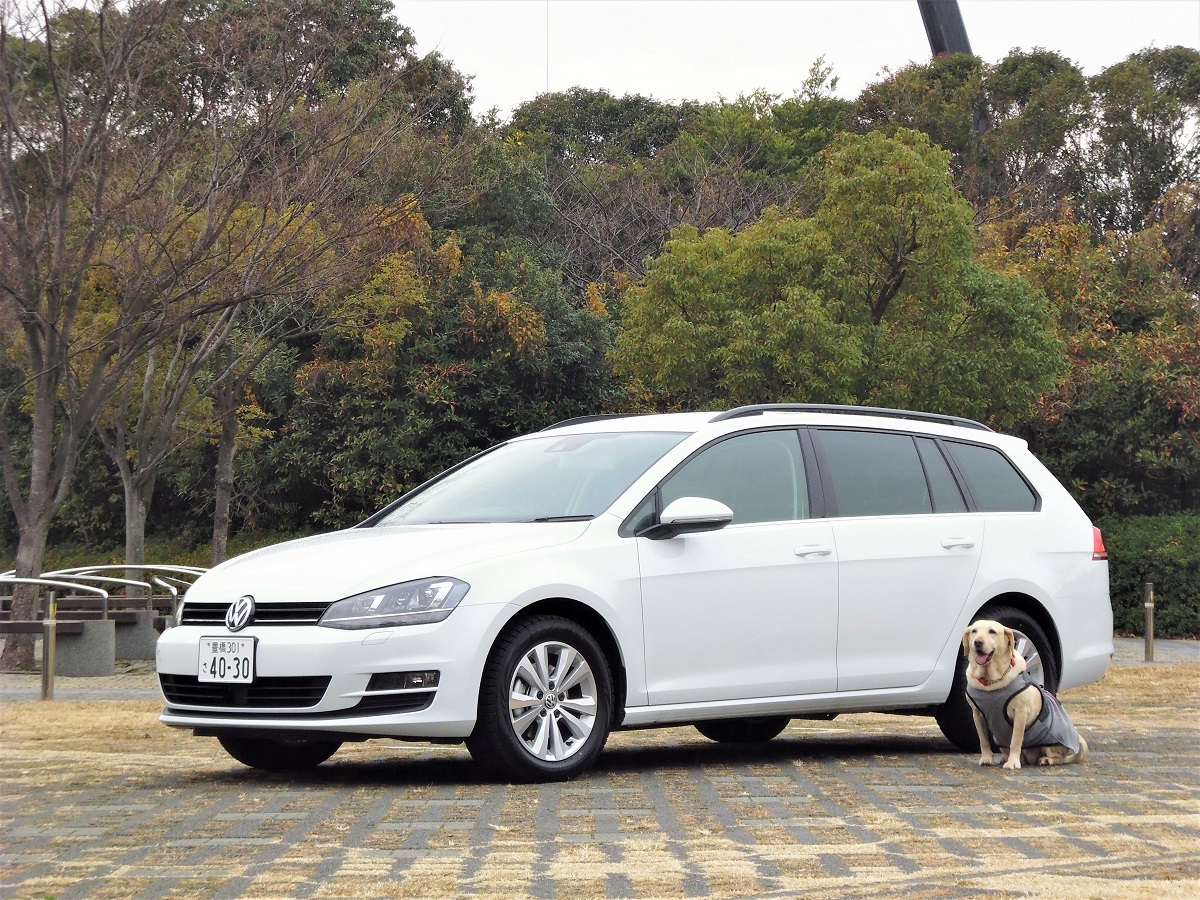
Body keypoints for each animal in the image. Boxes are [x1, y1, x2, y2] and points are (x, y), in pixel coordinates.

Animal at [964, 619, 1089, 777]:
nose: (978, 642)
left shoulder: (1020, 712)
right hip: (999, 739)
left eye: (992, 631)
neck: (991, 682)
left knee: (1059, 758)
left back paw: (1046, 760)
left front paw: (1012, 762)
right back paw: (1006, 758)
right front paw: (986, 758)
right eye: (974, 631)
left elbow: (1016, 741)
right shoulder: (977, 714)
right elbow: (983, 739)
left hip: (1051, 744)